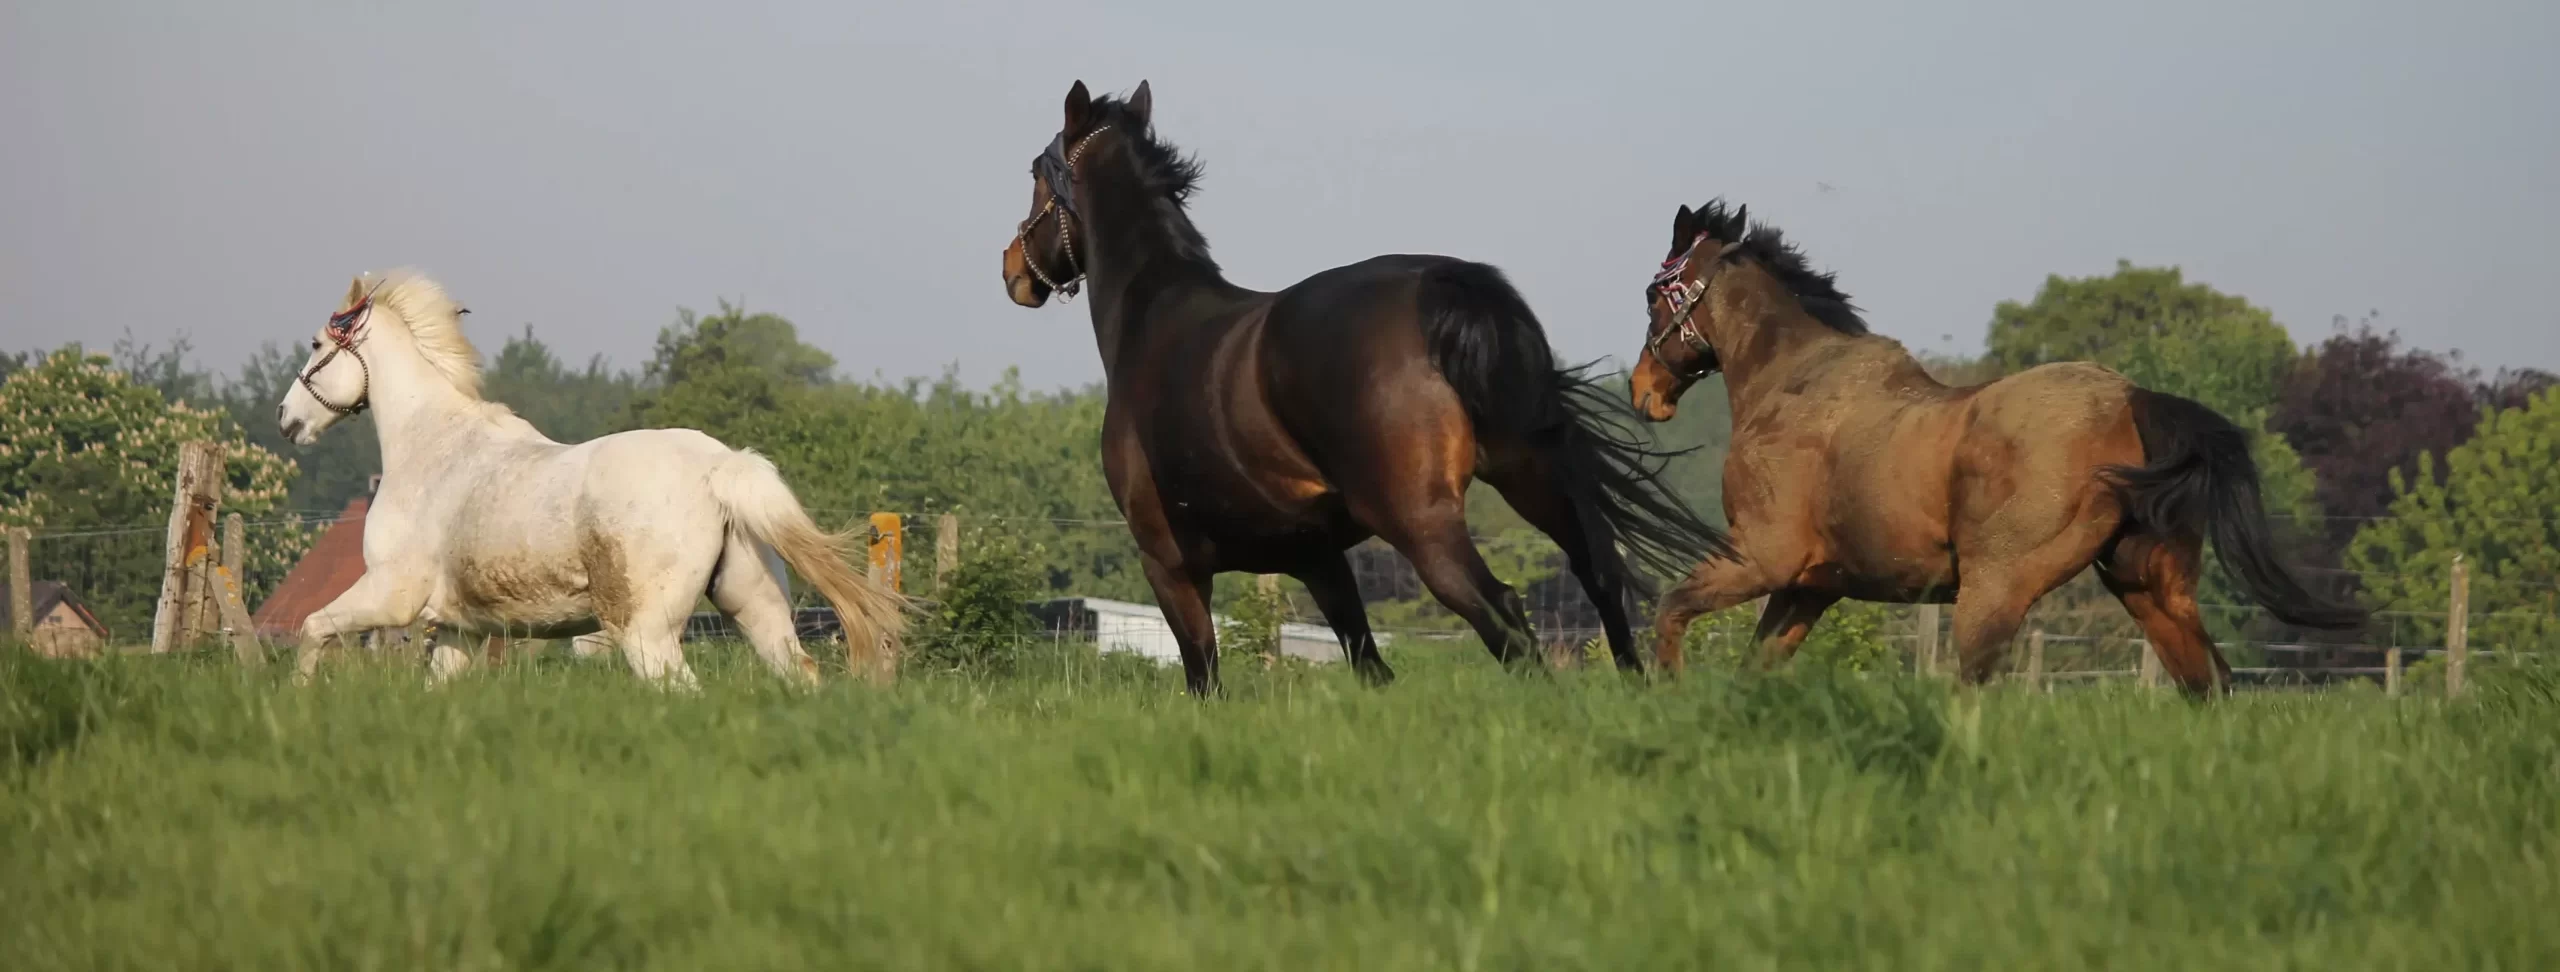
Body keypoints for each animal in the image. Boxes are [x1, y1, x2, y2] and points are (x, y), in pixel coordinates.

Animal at [270, 269, 906, 685]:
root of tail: (717, 467)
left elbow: (314, 629)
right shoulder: (458, 631)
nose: (286, 419)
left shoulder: (391, 595)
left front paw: (299, 702)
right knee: (801, 674)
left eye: (317, 345)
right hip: (757, 609)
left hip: (648, 635)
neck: (432, 445)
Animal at [988, 81, 1730, 690]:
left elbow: (1204, 678)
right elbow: (1370, 665)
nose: (1012, 269)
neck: (1154, 319)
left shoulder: (1169, 567)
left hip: (1422, 524)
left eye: (1035, 174)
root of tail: (1446, 290)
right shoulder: (1319, 561)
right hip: (1533, 475)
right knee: (1599, 574)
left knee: (1504, 615)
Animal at [1617, 199, 2355, 700]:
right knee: (2210, 683)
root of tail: (2131, 397)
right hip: (2150, 586)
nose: (1642, 390)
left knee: (1973, 689)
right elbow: (1753, 669)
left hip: (1993, 591)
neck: (1793, 382)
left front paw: (1668, 694)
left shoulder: (1760, 559)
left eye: (1654, 293)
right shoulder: (1809, 589)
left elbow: (1670, 610)